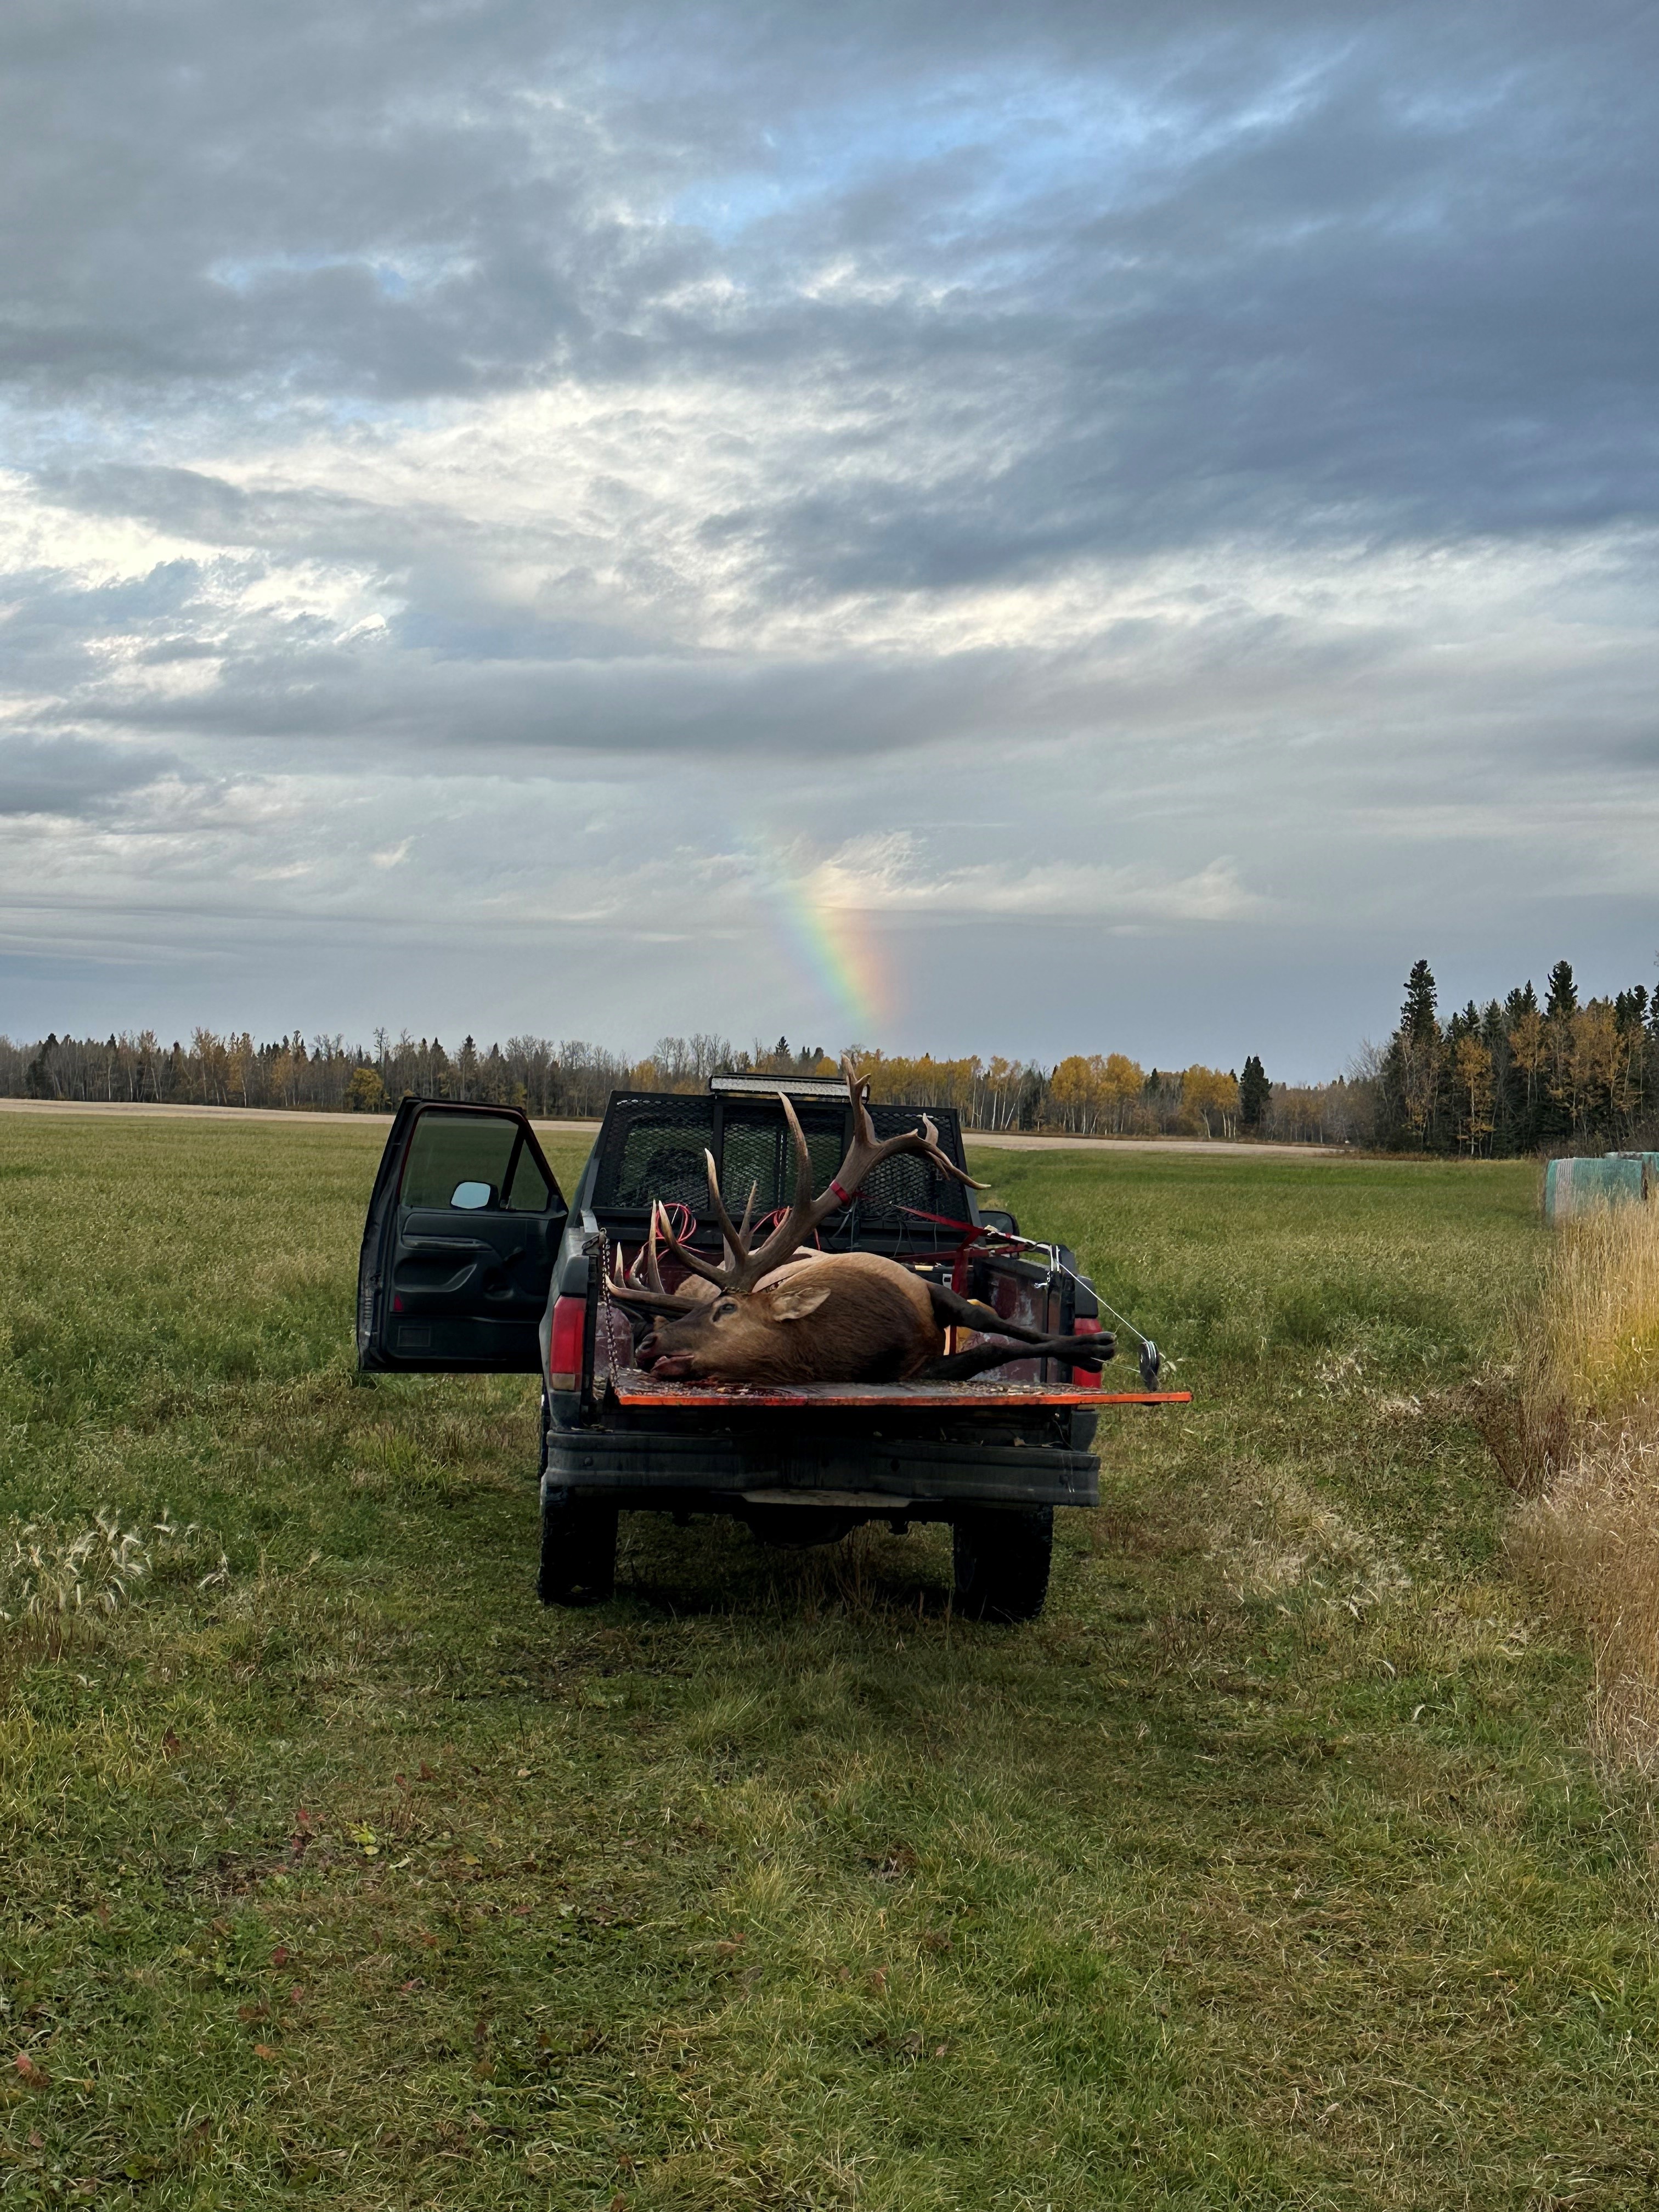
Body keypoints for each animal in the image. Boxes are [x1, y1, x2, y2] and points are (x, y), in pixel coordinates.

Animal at [604, 1058, 1115, 1389]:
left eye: (726, 1309)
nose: (649, 1345)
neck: (877, 1332)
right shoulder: (907, 1371)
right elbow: (989, 1350)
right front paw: (1092, 1347)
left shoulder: (921, 1285)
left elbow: (988, 1322)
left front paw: (1098, 1345)